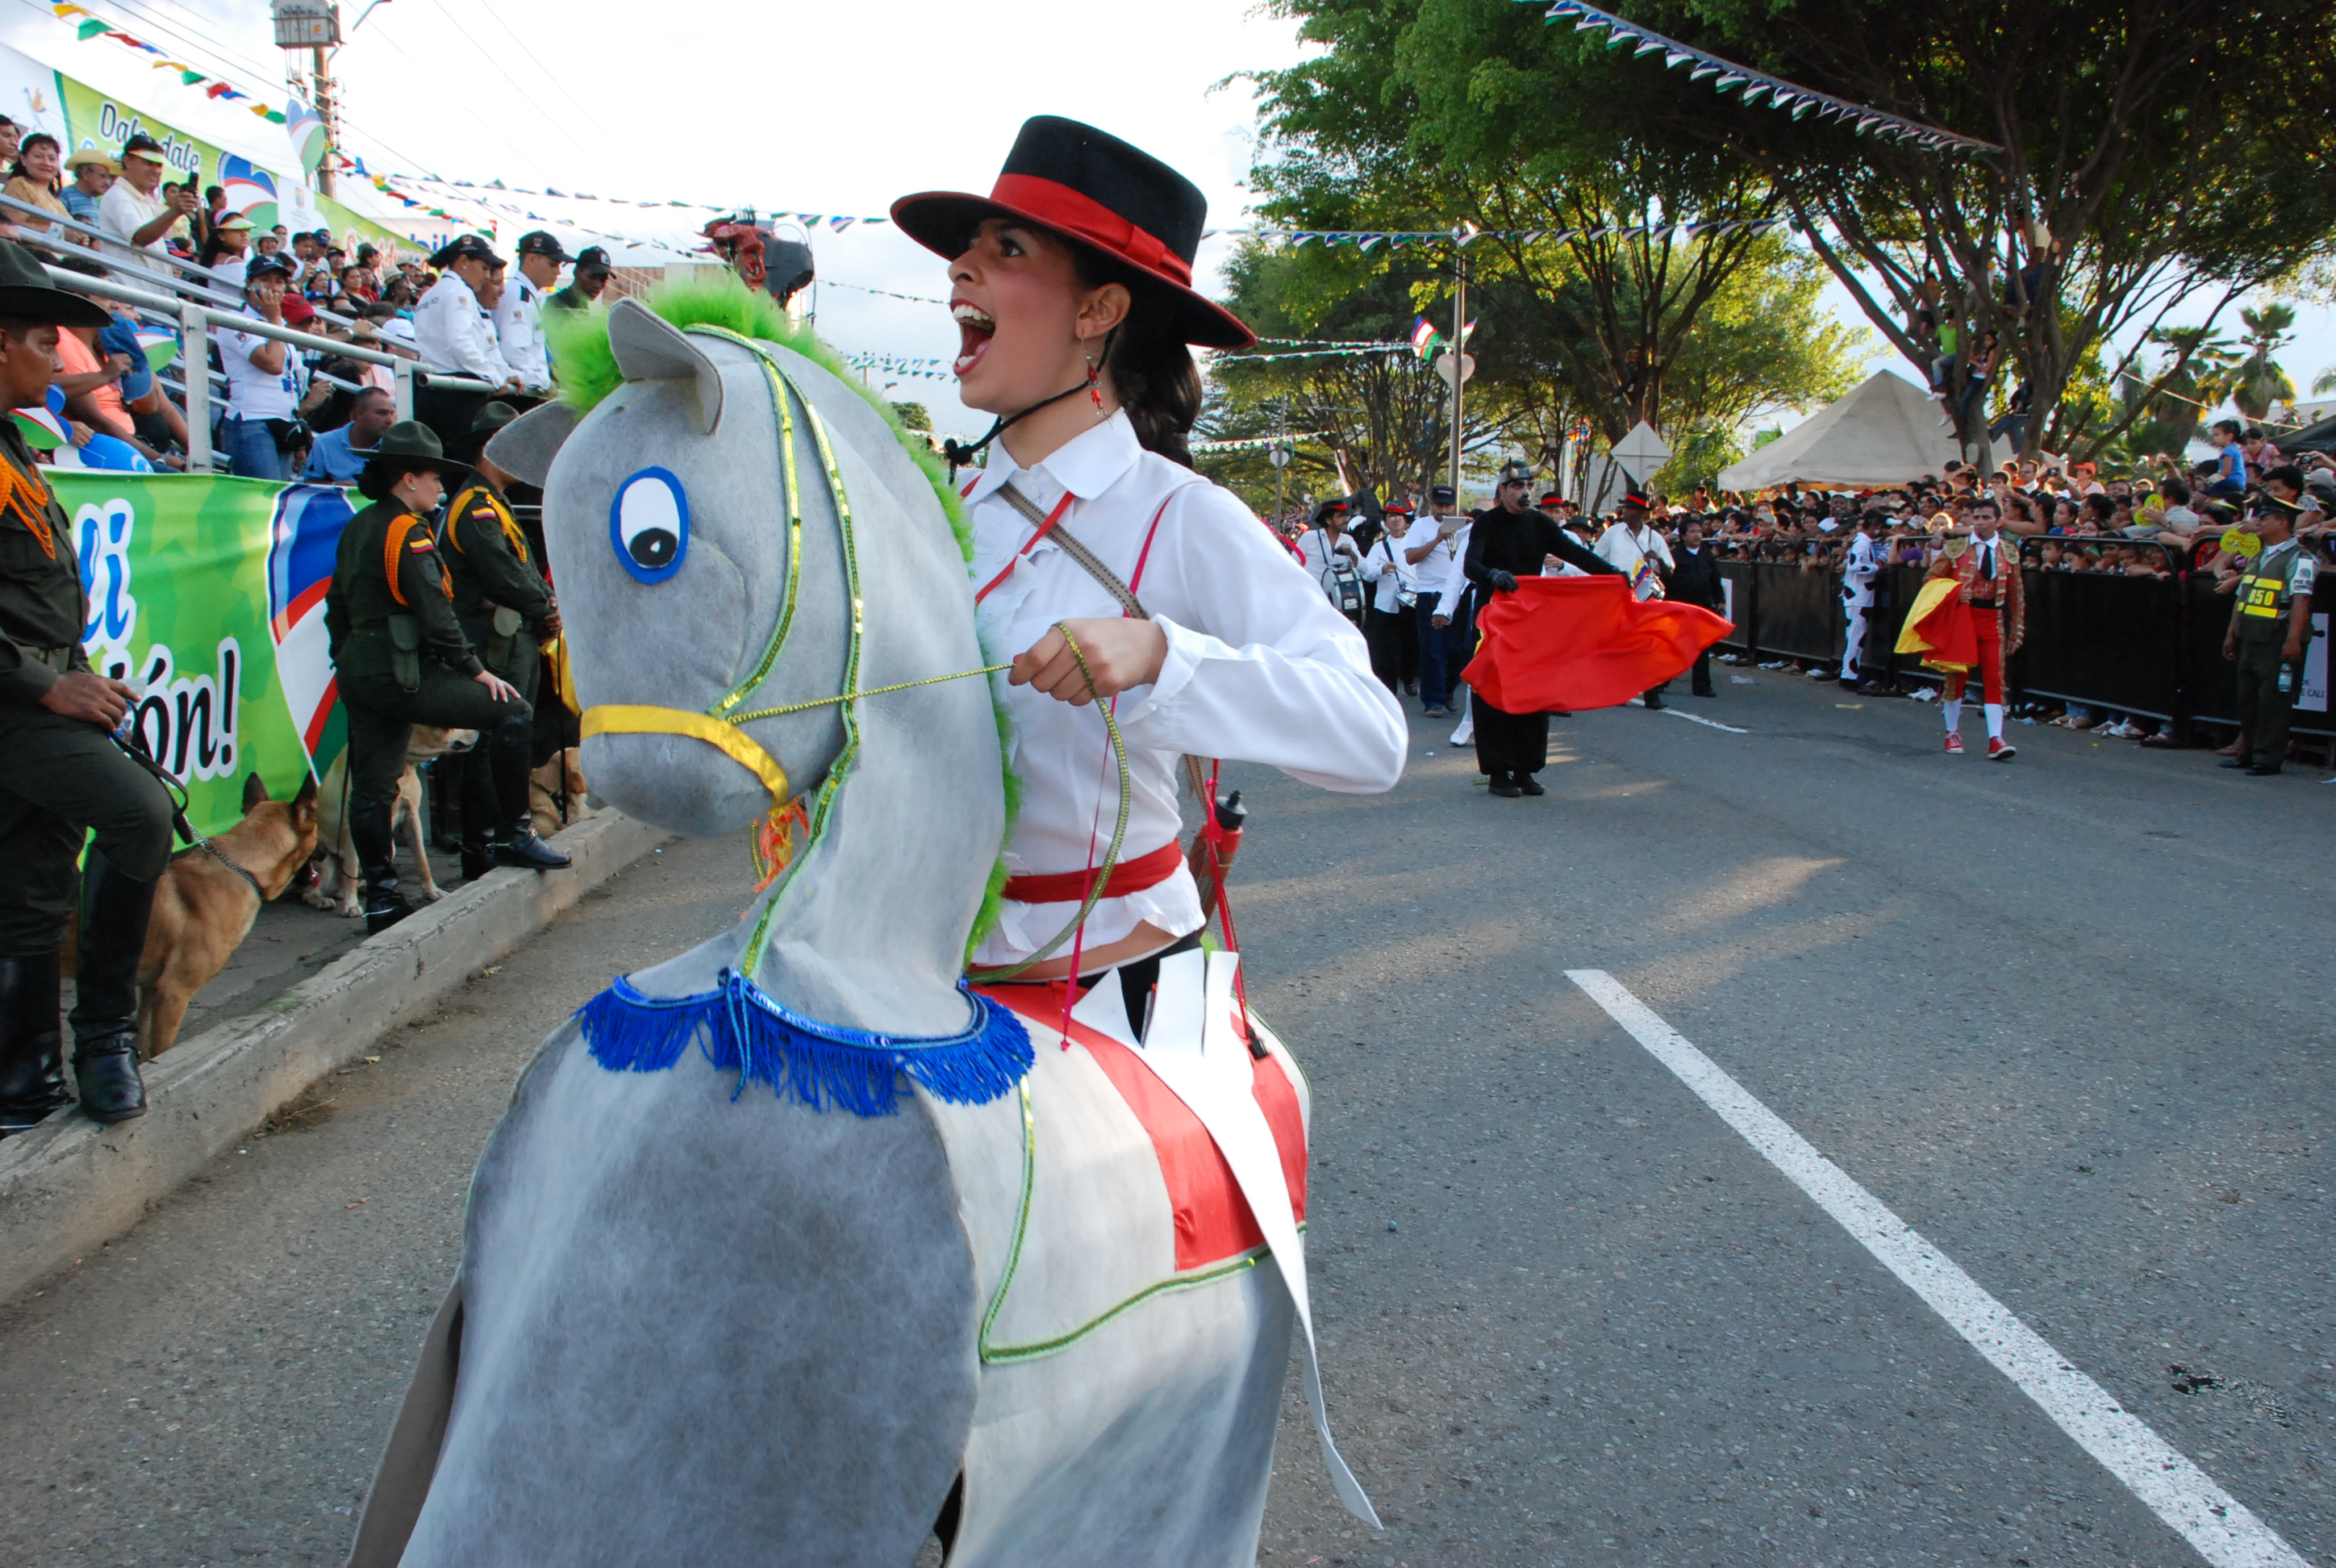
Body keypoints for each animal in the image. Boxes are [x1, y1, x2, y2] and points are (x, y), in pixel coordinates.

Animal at [135, 773, 321, 1058]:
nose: (328, 851)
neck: (242, 867)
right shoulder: (173, 992)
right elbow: (161, 1052)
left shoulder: (149, 990)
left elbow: (143, 1053)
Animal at [308, 726, 475, 918]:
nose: (480, 731)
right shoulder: (352, 825)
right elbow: (351, 867)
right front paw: (350, 906)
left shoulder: (412, 816)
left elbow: (422, 860)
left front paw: (432, 891)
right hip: (325, 862)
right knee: (311, 891)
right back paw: (324, 900)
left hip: (391, 848)